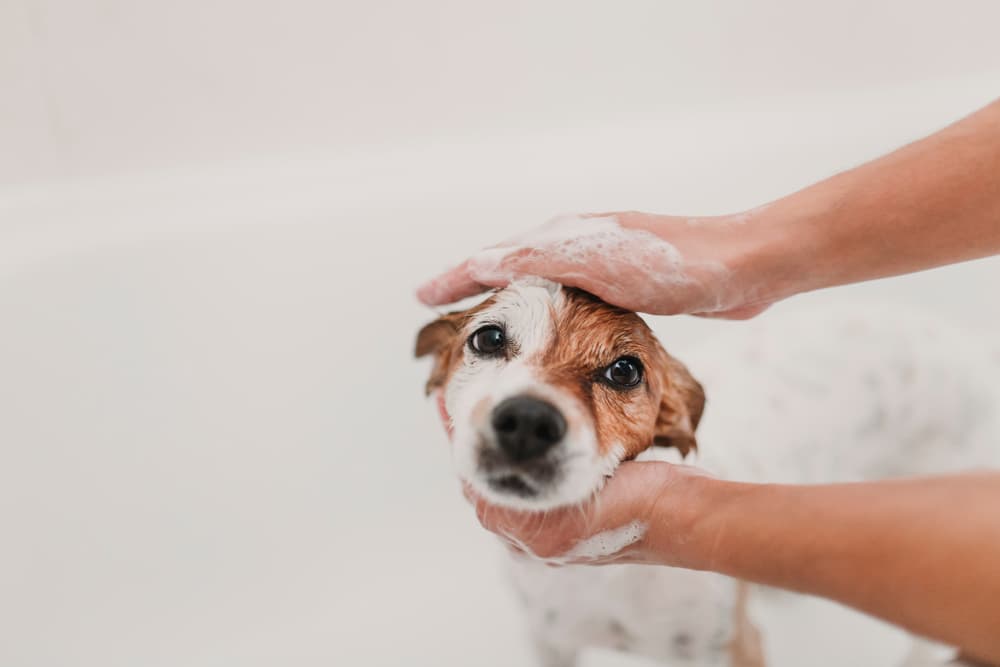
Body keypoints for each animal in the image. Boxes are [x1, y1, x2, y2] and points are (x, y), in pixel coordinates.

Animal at [414, 278, 1000, 667]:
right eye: (489, 338)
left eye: (624, 370)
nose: (528, 422)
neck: (601, 581)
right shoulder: (550, 643)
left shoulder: (733, 647)